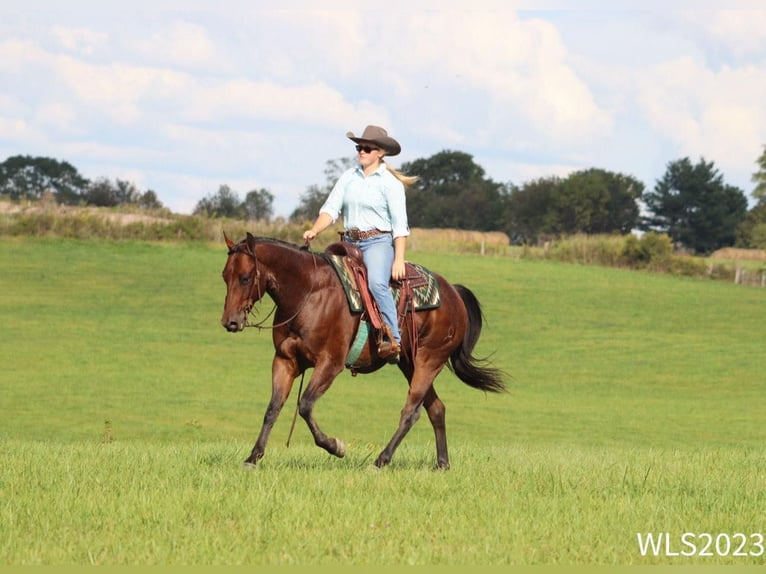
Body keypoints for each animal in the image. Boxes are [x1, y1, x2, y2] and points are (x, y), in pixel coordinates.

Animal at [220, 232, 510, 470]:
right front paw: (253, 457)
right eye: (225, 276)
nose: (230, 322)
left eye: (245, 278)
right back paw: (442, 464)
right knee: (436, 409)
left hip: (429, 361)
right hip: (409, 362)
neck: (309, 293)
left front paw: (336, 446)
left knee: (411, 411)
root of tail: (454, 294)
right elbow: (273, 408)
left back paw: (380, 461)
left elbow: (305, 405)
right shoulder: (285, 361)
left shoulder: (330, 364)